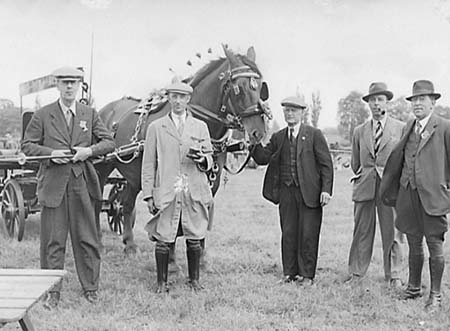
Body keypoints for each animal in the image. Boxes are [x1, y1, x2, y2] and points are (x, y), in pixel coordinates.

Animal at [96, 46, 268, 254]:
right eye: (238, 88)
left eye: (260, 87)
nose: (258, 132)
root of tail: (105, 110)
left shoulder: (211, 182)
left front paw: (200, 255)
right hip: (103, 167)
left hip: (135, 176)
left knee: (126, 205)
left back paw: (129, 244)